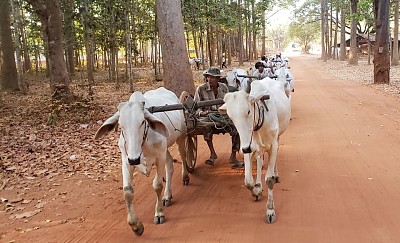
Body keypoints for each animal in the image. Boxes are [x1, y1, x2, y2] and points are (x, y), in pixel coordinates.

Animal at [94, 87, 189, 235]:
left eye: (143, 122)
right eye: (120, 125)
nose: (135, 159)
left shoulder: (159, 157)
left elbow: (157, 185)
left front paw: (159, 213)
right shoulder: (126, 160)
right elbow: (127, 191)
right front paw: (136, 225)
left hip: (181, 136)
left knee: (183, 156)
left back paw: (185, 176)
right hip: (165, 149)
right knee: (170, 165)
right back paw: (167, 196)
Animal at [219, 79, 290, 224]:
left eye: (248, 111)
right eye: (230, 117)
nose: (246, 148)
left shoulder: (272, 144)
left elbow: (269, 180)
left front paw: (270, 210)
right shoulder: (248, 144)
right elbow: (247, 181)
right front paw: (256, 190)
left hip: (278, 137)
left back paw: (276, 174)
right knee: (259, 159)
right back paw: (258, 184)